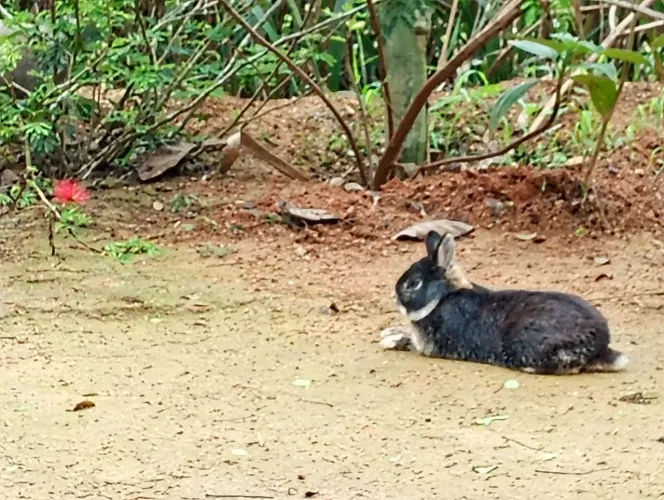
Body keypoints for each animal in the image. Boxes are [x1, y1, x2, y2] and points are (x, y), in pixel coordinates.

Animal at [379, 230, 629, 375]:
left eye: (414, 283)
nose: (395, 298)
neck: (442, 297)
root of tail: (601, 343)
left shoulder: (428, 346)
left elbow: (409, 343)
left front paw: (389, 341)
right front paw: (387, 333)